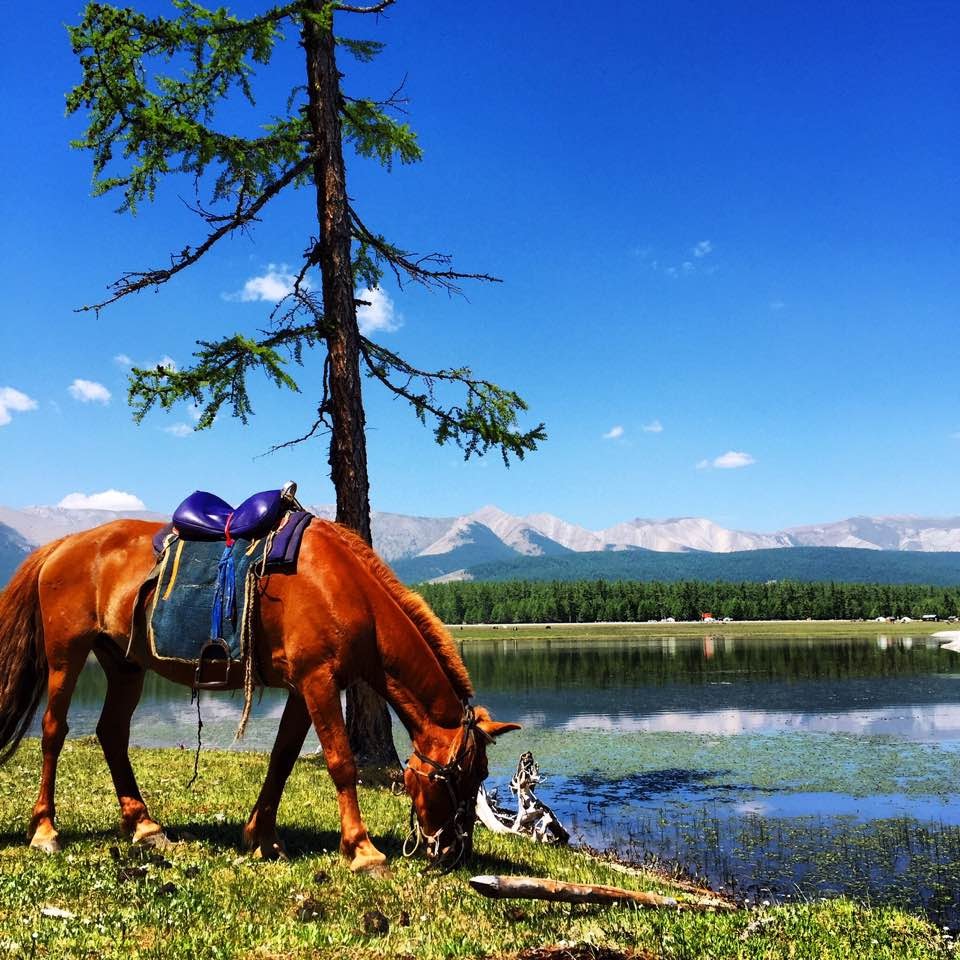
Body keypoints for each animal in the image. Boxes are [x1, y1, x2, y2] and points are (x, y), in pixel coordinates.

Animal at [0, 517, 519, 872]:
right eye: (464, 775)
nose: (453, 851)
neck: (348, 592)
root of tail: (63, 544)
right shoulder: (317, 681)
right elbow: (341, 763)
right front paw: (362, 850)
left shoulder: (303, 689)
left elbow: (282, 760)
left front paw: (261, 838)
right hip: (66, 657)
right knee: (54, 731)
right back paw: (45, 830)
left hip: (125, 665)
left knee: (111, 734)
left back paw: (145, 827)